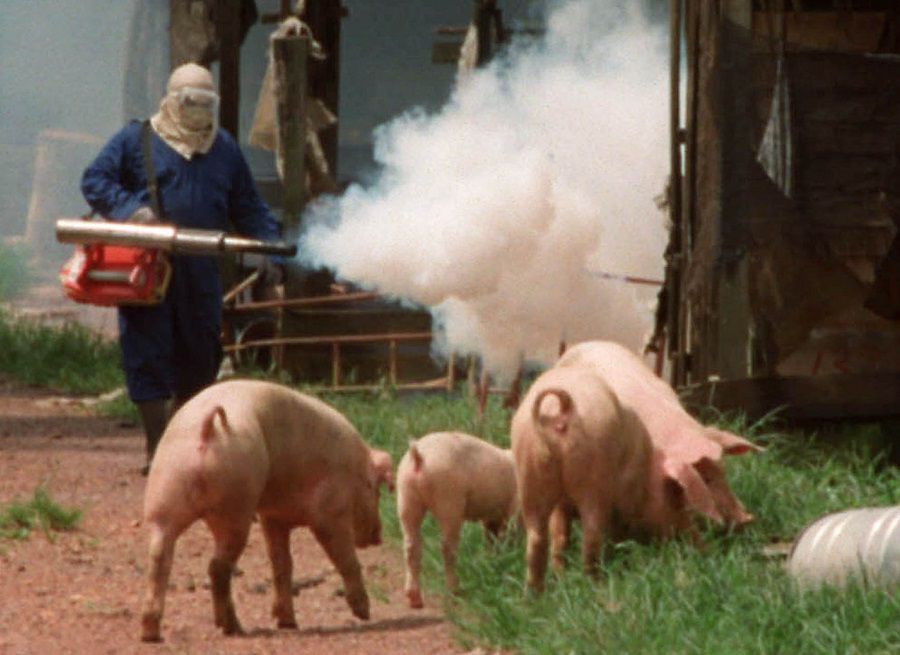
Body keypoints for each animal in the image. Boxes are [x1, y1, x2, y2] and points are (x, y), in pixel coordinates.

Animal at [140, 382, 390, 644]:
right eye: (377, 491)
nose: (378, 537)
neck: (354, 468)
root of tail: (207, 427)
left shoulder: (273, 516)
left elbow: (282, 564)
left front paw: (287, 623)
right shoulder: (329, 512)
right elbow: (346, 559)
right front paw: (364, 614)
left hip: (165, 493)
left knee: (159, 558)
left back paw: (150, 634)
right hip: (235, 505)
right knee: (217, 566)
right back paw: (233, 628)